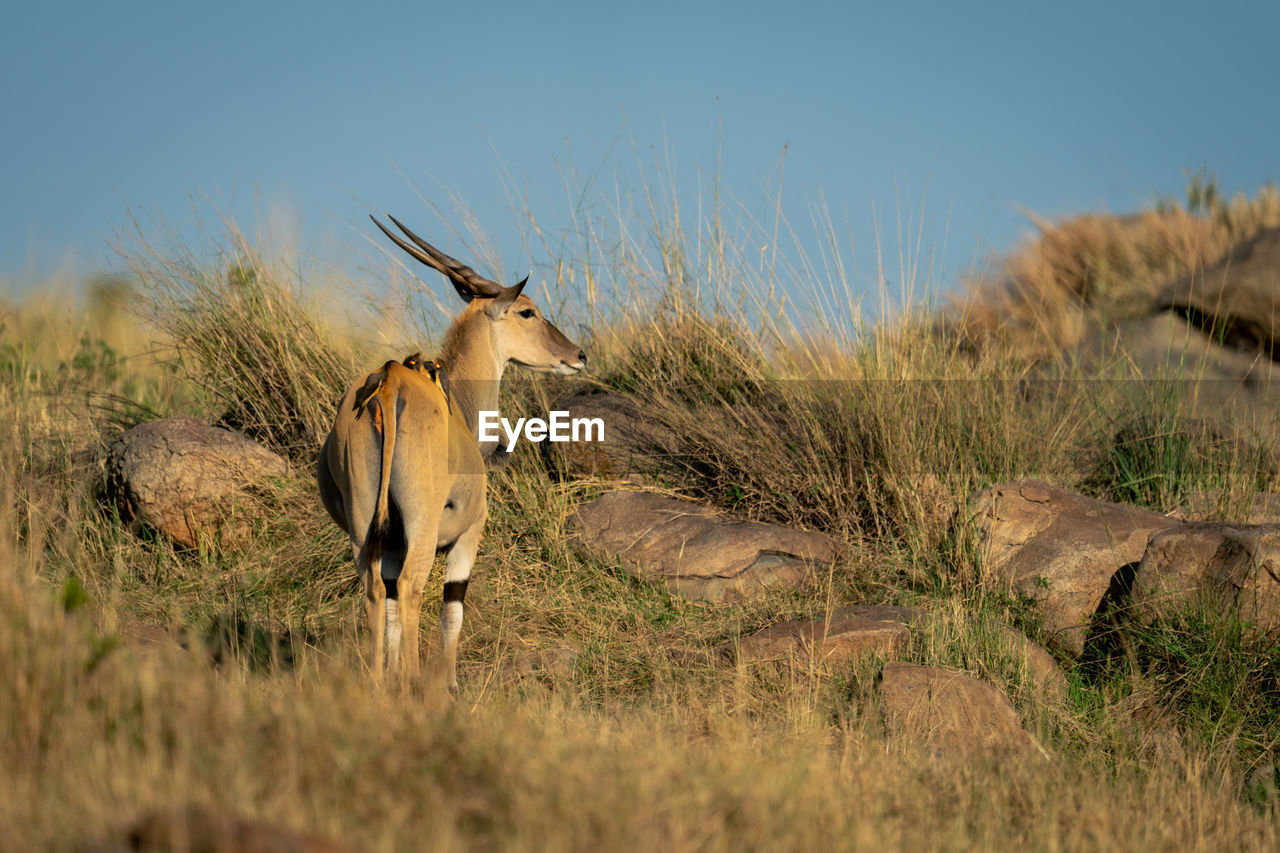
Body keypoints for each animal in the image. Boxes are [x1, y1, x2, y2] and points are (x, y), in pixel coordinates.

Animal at [320, 217, 586, 686]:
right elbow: (451, 609)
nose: (577, 355)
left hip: (362, 525)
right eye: (527, 311)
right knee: (410, 589)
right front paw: (448, 683)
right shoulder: (468, 535)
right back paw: (413, 682)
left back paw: (379, 681)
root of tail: (388, 385)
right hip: (422, 528)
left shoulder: (389, 544)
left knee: (375, 592)